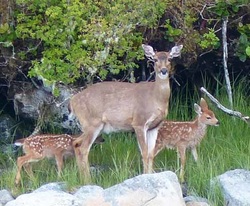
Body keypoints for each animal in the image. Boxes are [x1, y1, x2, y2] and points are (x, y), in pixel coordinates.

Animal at [69, 43, 183, 180]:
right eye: (155, 59)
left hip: (93, 126)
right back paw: (88, 179)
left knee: (76, 143)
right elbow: (144, 153)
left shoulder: (154, 126)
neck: (155, 98)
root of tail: (73, 101)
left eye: (170, 59)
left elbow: (151, 154)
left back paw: (82, 178)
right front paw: (145, 176)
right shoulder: (139, 122)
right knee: (84, 148)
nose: (164, 70)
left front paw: (150, 175)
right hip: (92, 123)